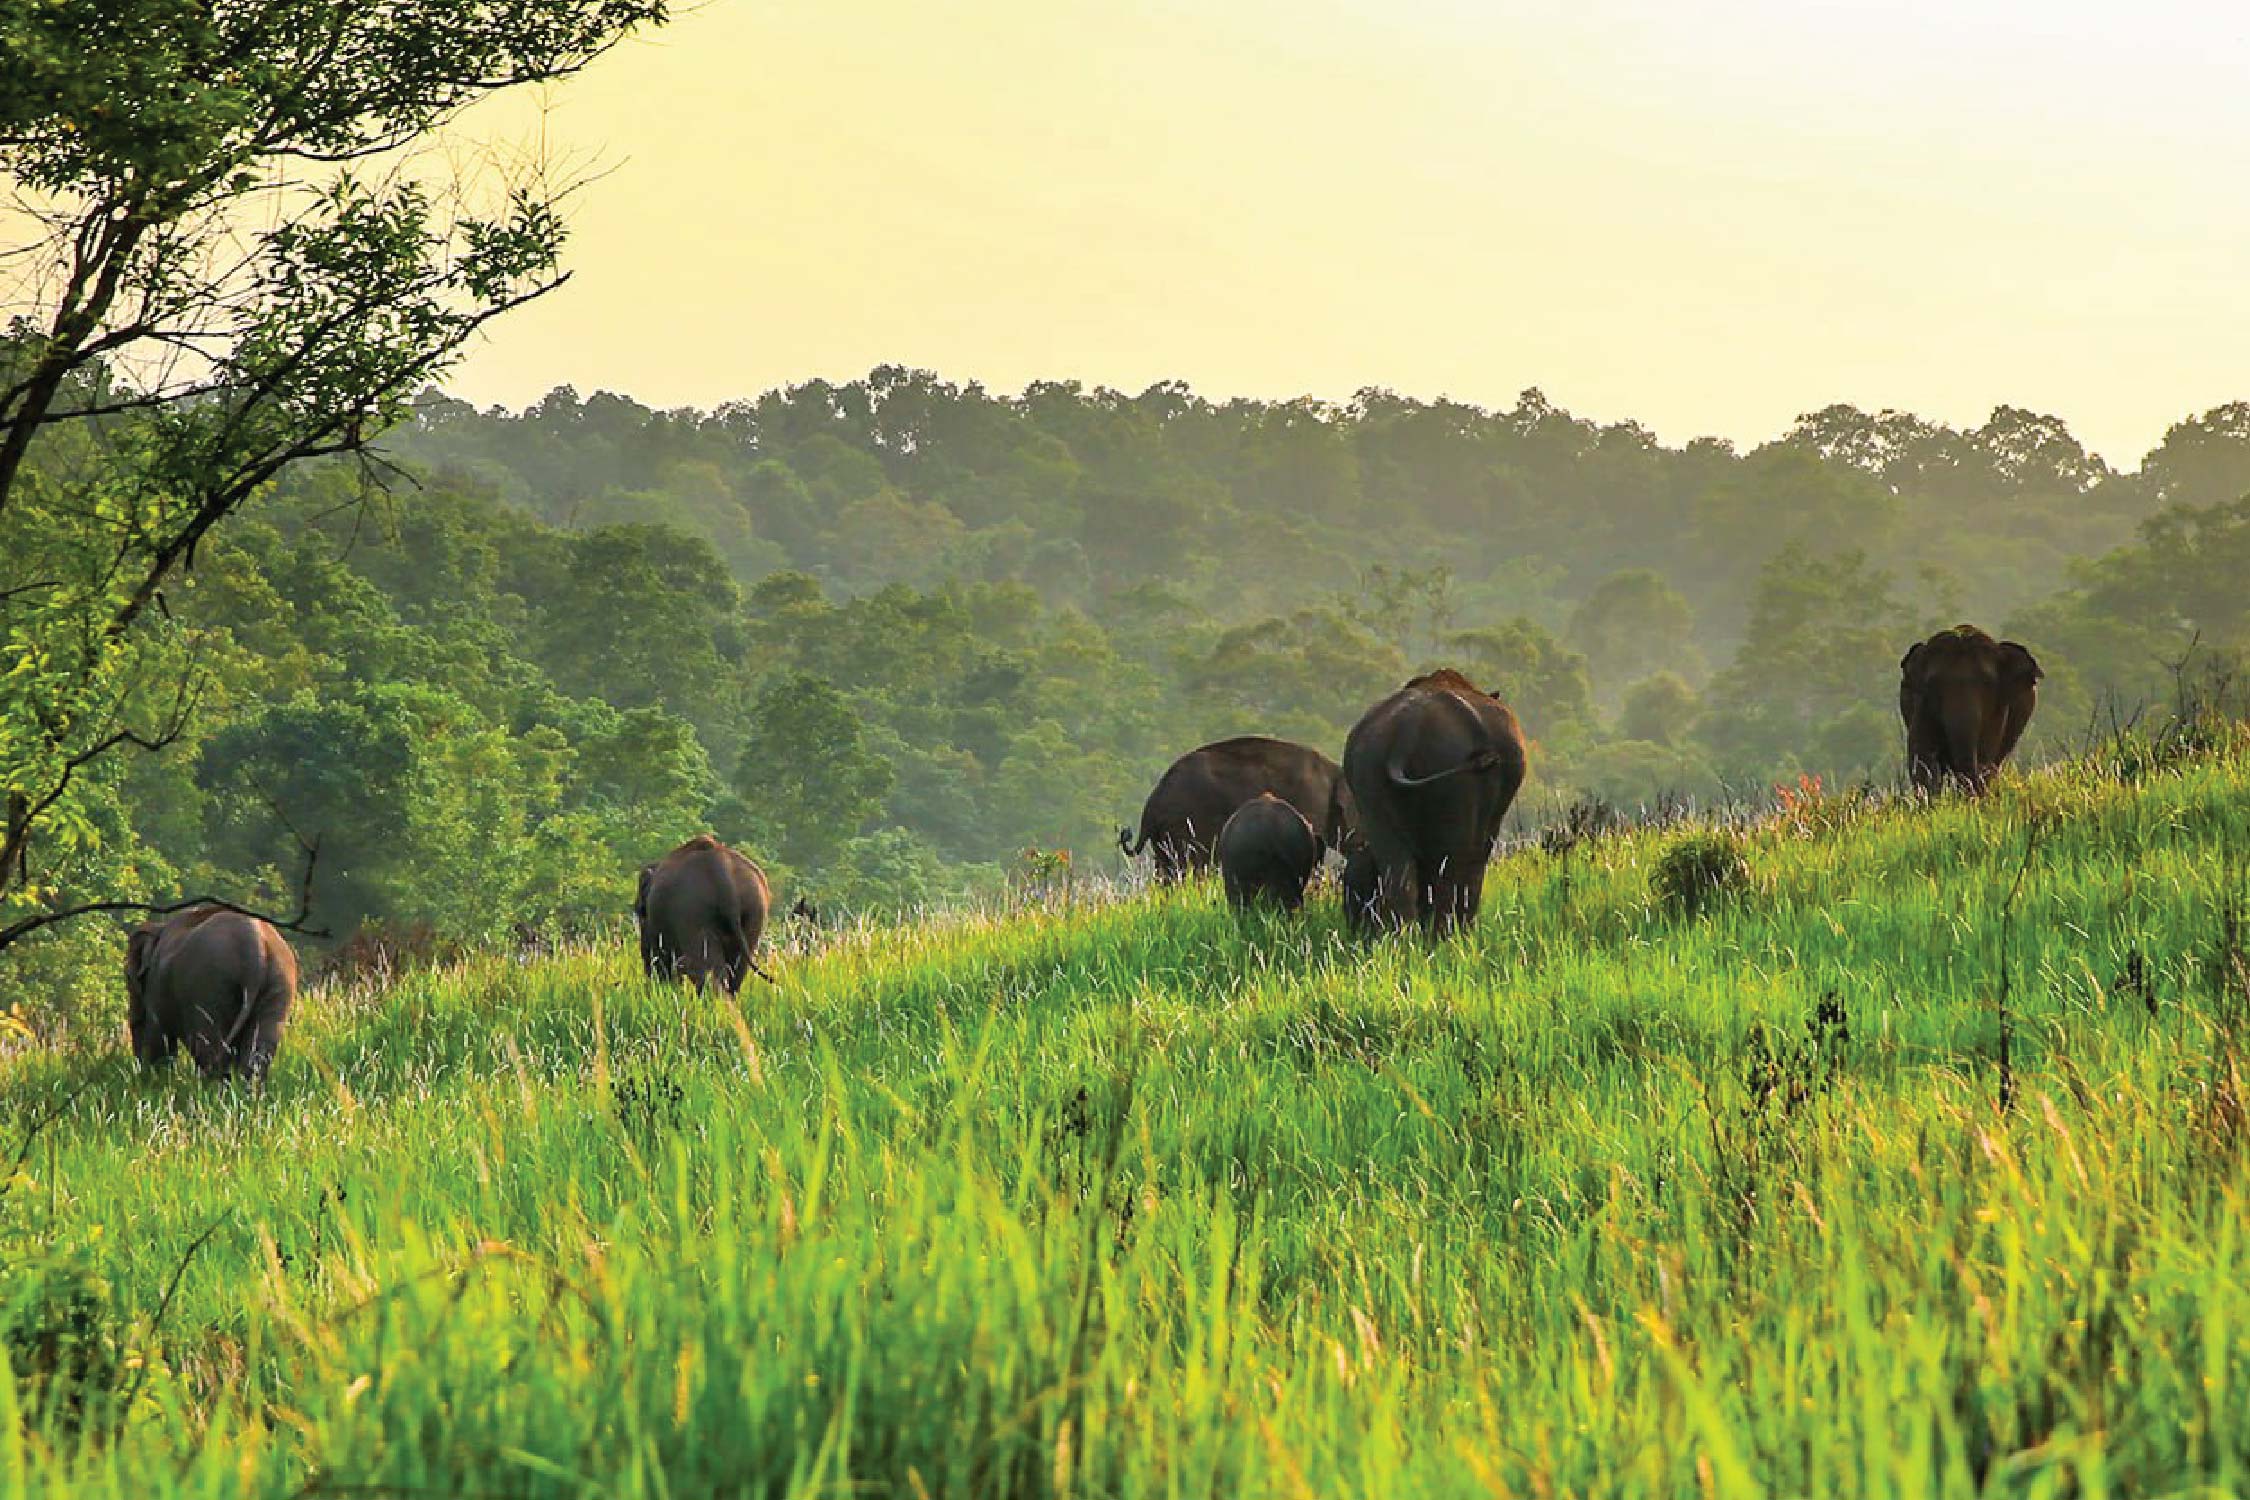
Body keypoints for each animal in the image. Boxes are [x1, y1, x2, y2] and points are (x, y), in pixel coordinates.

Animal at [127, 904, 301, 1079]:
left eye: (128, 977)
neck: (159, 927)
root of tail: (255, 945)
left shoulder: (155, 985)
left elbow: (157, 1041)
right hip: (279, 981)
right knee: (257, 1052)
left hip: (208, 984)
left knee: (209, 1050)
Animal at [634, 832, 774, 998]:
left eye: (640, 912)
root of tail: (721, 869)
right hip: (754, 913)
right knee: (737, 971)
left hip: (693, 913)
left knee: (706, 969)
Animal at [1332, 670, 1530, 940]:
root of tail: (1407, 731)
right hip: (1452, 782)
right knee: (1452, 867)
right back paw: (1445, 938)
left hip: (1370, 777)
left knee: (1398, 872)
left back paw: (1406, 939)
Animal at [1899, 625, 2043, 796]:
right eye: (1932, 684)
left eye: (1988, 683)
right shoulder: (1922, 705)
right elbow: (1920, 753)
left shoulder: (1998, 711)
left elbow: (1985, 753)